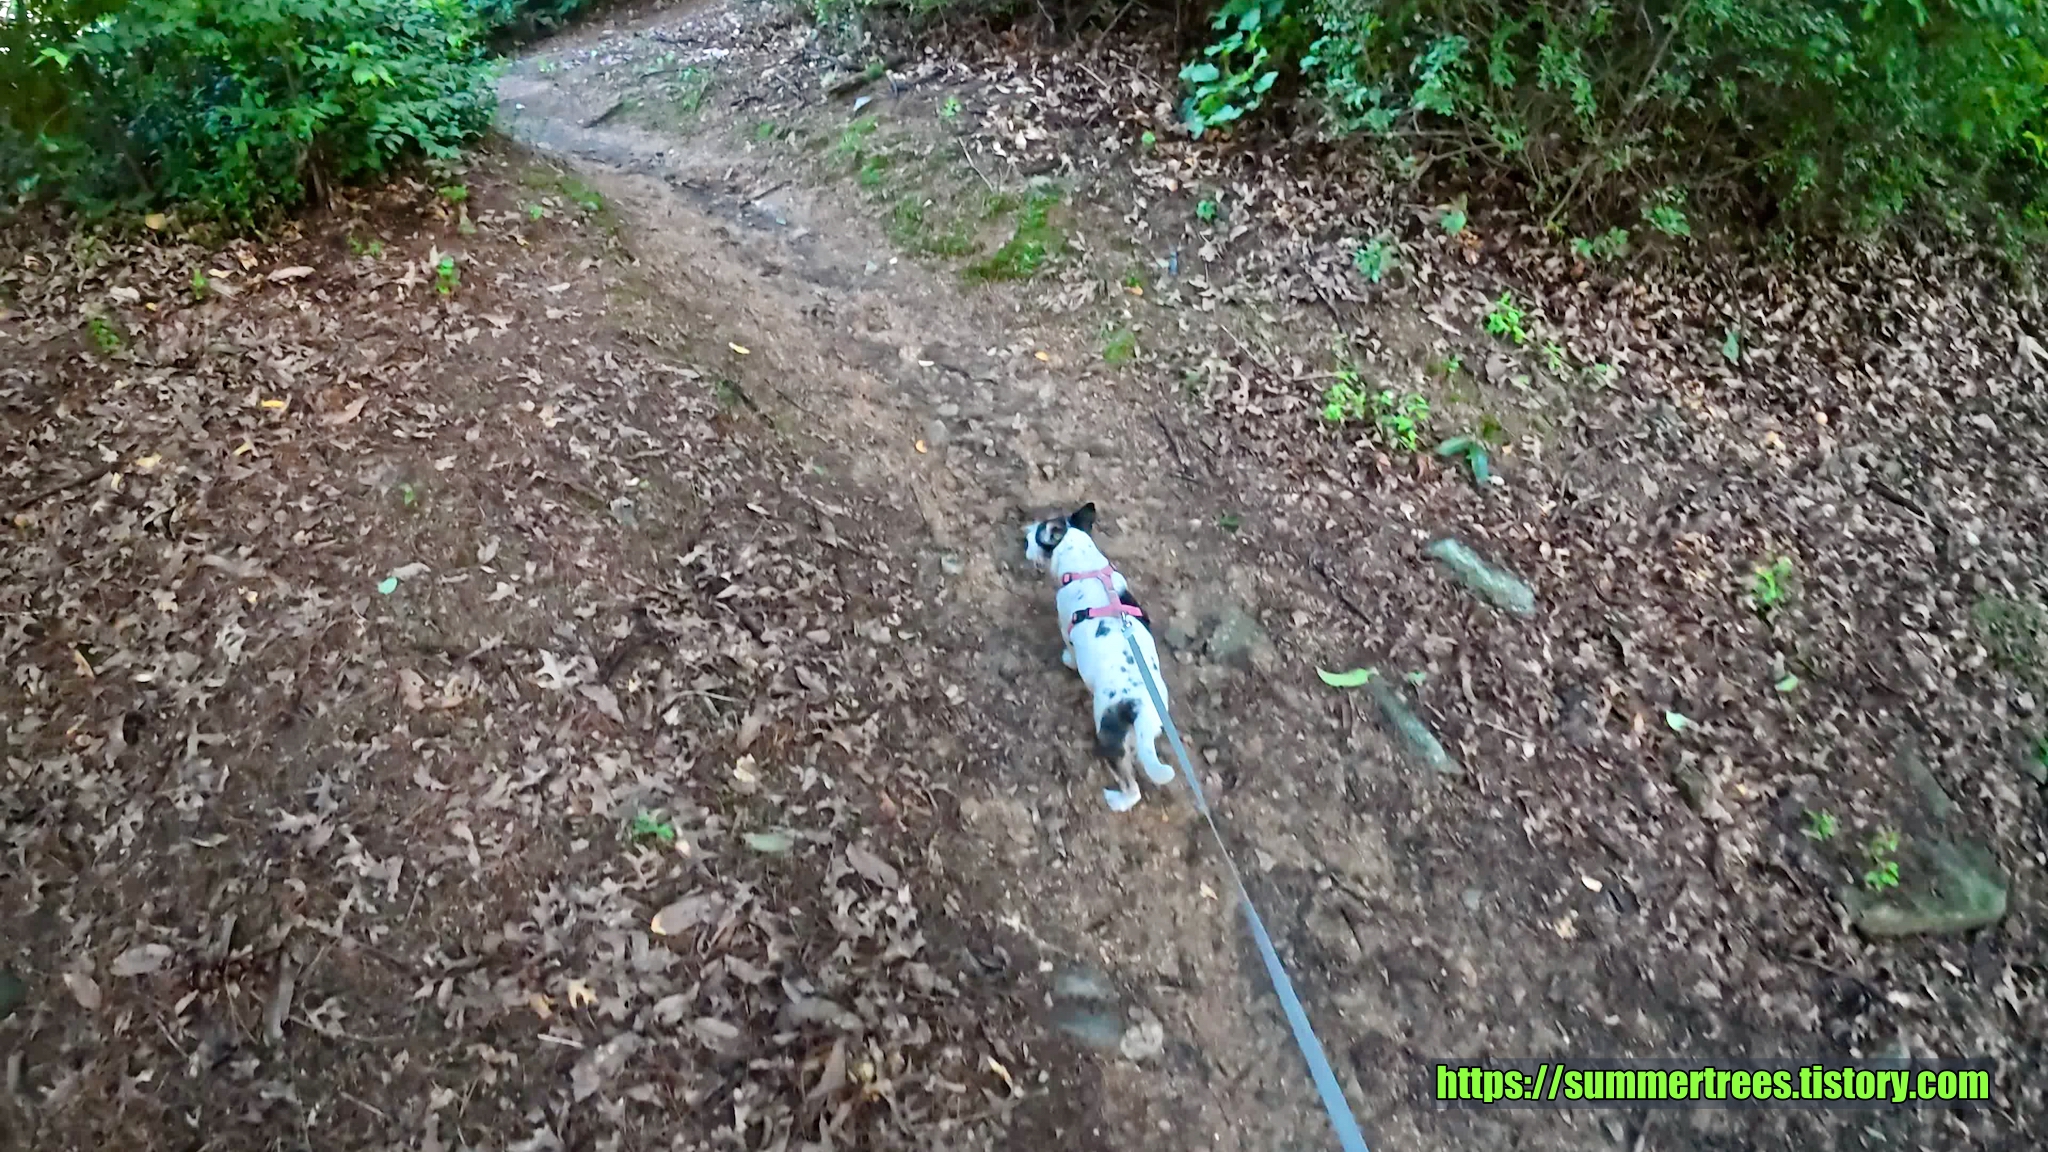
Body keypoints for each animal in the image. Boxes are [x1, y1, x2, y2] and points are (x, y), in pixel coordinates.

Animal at [1021, 503, 1174, 811]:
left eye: (1034, 538)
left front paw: (1068, 660)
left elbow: (1069, 648)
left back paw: (1117, 800)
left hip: (1109, 737)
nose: (1023, 537)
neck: (1086, 567)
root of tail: (1140, 708)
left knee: (1131, 788)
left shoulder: (1064, 624)